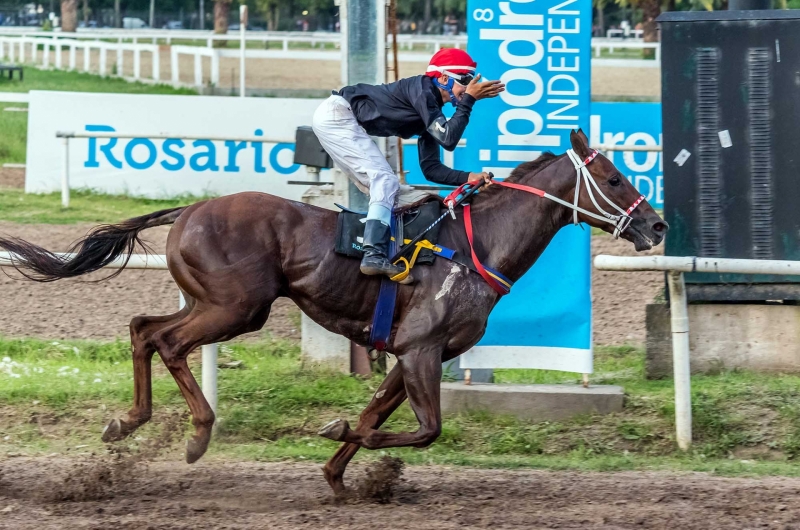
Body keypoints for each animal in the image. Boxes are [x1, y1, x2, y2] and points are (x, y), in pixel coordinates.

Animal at [0, 129, 664, 490]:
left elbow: (379, 414)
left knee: (143, 329)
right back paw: (197, 433)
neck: (475, 246)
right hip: (237, 307)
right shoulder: (421, 349)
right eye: (613, 176)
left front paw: (338, 475)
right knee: (167, 341)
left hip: (214, 302)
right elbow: (426, 429)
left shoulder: (413, 351)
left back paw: (129, 421)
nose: (656, 226)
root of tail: (190, 209)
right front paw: (340, 434)